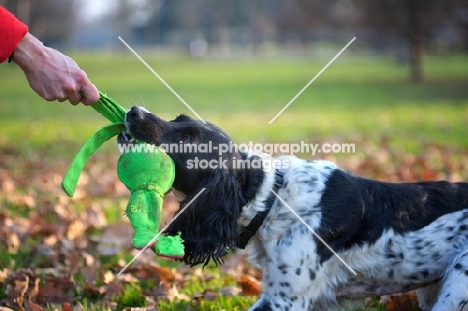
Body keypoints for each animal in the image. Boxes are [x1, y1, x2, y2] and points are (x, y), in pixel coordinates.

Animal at [119, 106, 468, 310]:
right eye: (178, 120)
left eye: (188, 138)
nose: (133, 111)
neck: (274, 198)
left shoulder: (286, 298)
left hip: (455, 286)